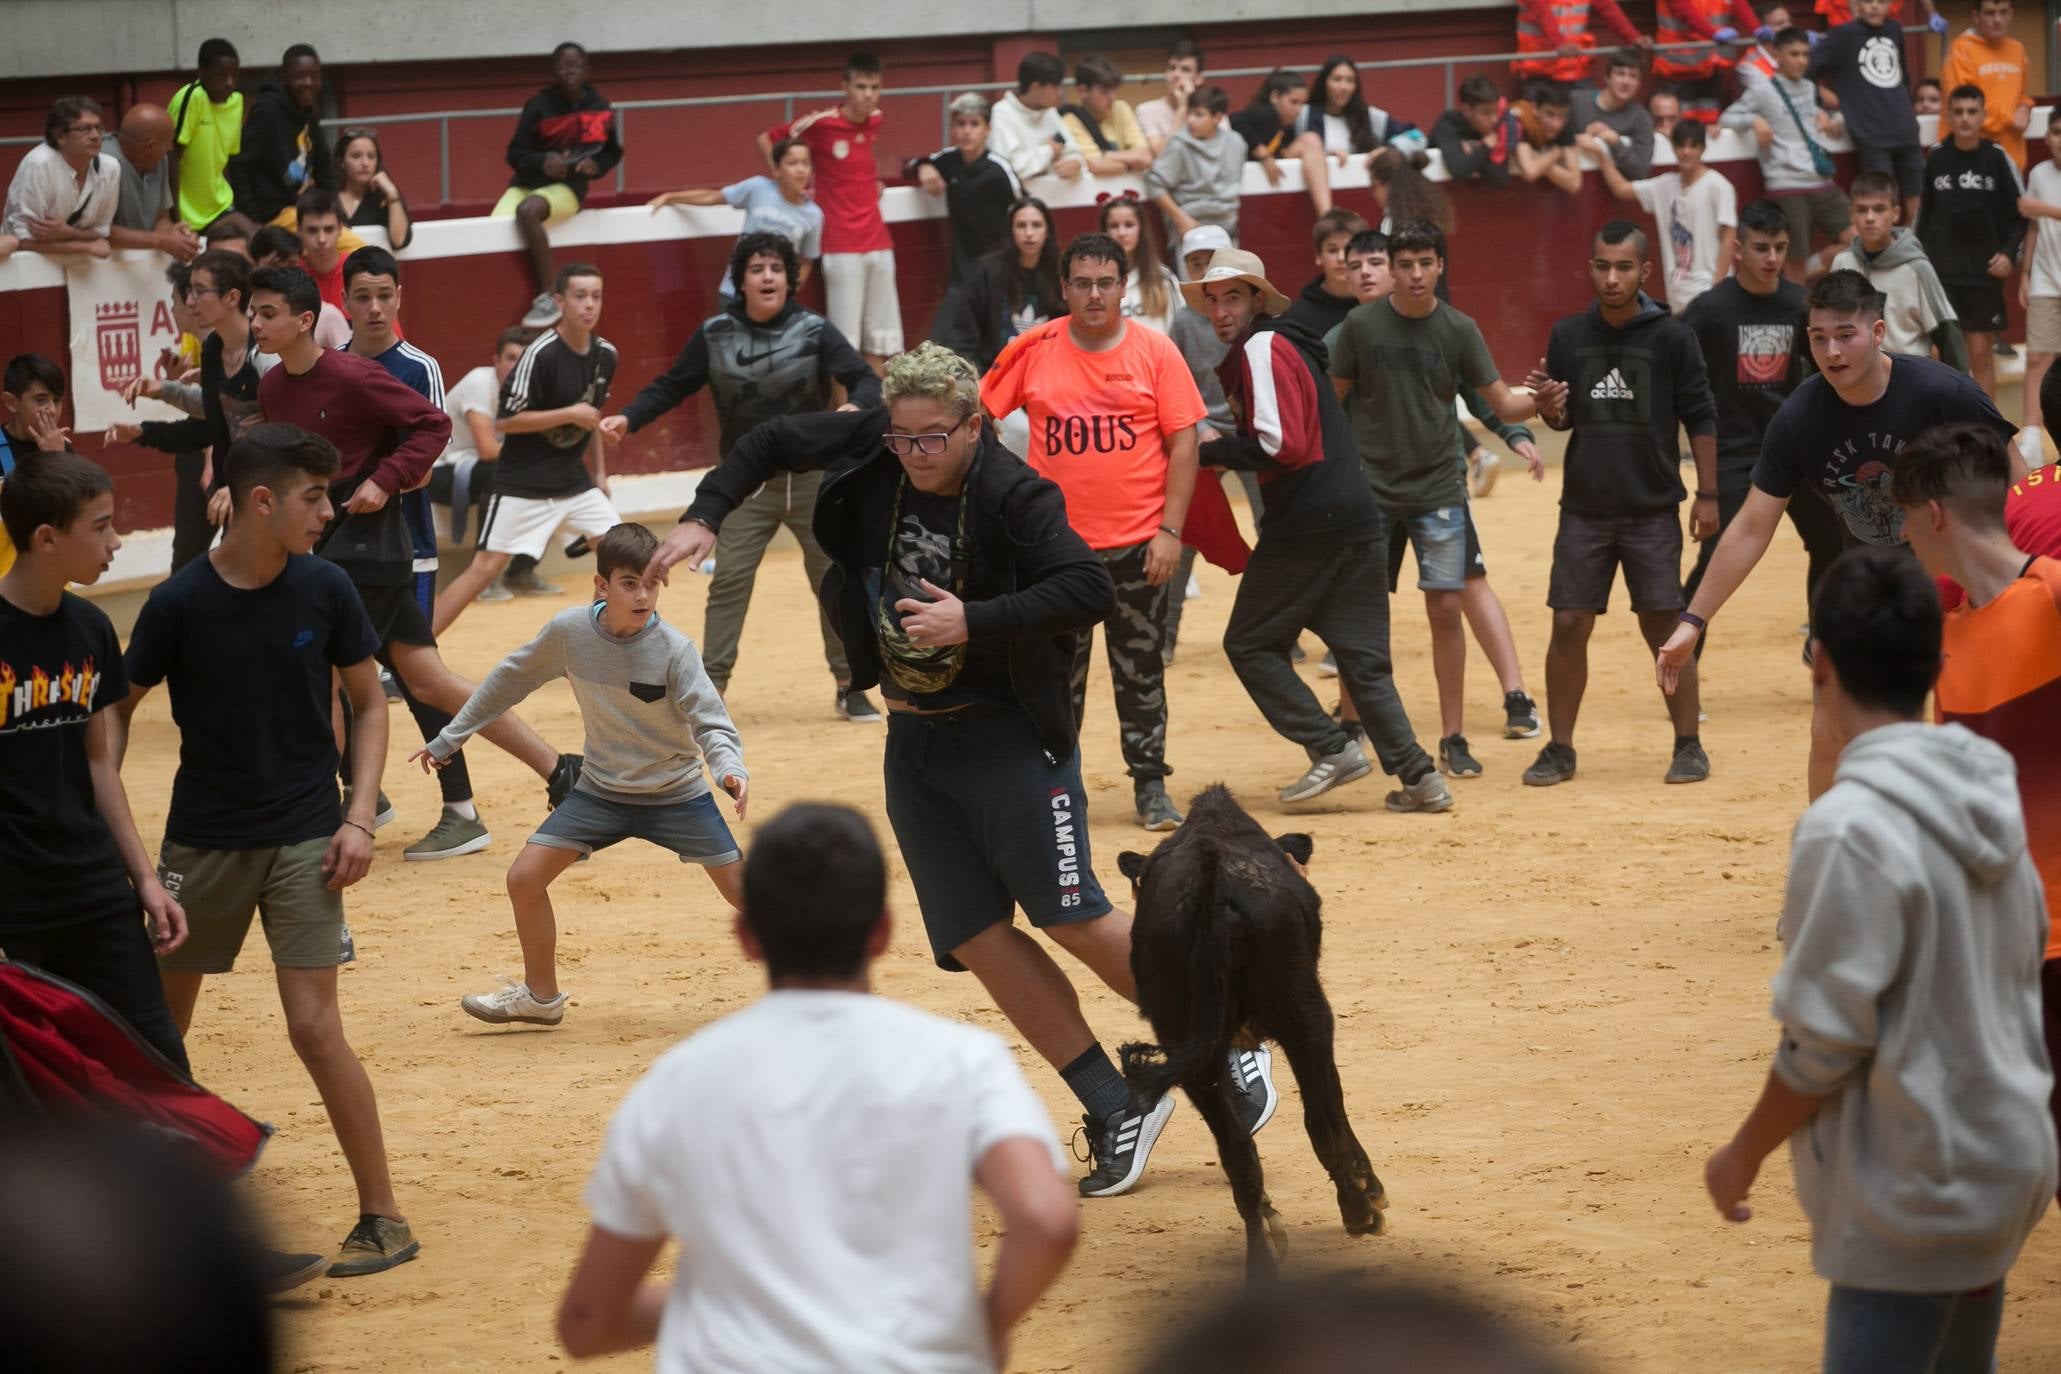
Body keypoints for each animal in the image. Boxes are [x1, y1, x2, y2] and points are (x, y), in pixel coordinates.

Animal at [1121, 791, 1393, 1285]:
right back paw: (1358, 1212)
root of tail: (1210, 888)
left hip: (1184, 1042)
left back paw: (1261, 1261)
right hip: (1305, 1013)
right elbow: (1332, 1105)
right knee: (1319, 1116)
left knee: (1236, 1152)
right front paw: (1369, 1190)